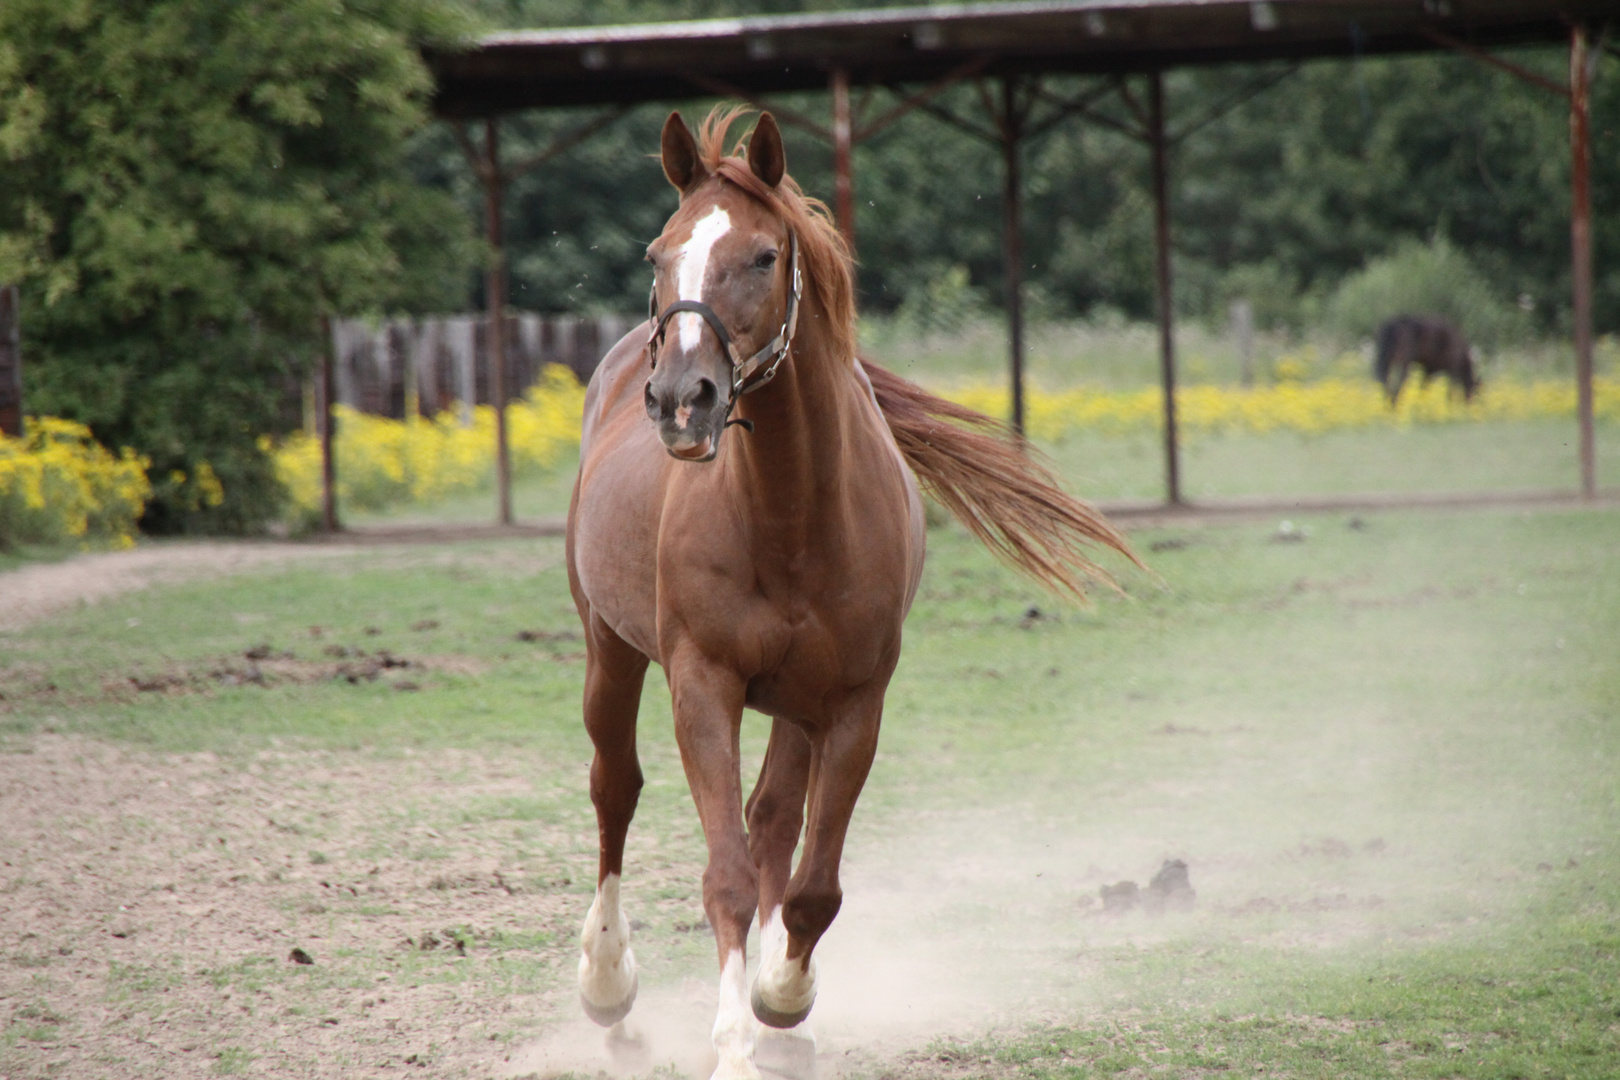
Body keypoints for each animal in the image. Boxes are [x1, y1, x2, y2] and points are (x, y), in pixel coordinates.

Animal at [570, 103, 1140, 1080]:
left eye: (764, 255)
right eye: (658, 253)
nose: (682, 399)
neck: (791, 513)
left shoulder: (850, 703)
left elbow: (810, 887)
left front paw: (781, 1001)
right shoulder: (703, 686)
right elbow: (727, 875)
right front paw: (733, 1041)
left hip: (791, 706)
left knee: (771, 823)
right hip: (610, 648)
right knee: (618, 788)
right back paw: (608, 990)